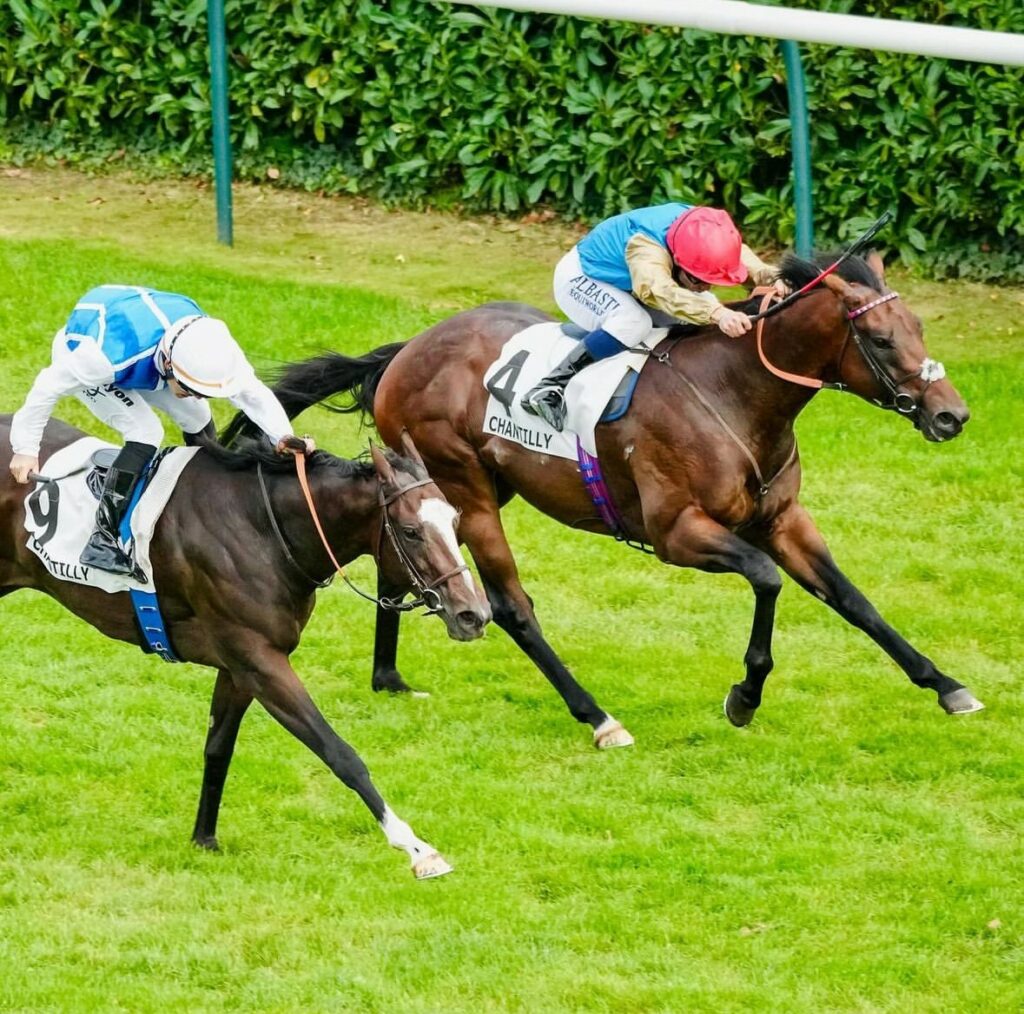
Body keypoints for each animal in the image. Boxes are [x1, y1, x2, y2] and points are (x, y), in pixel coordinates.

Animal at [0, 417, 491, 880]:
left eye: (454, 520)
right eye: (410, 531)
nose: (475, 614)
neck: (265, 530)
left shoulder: (238, 666)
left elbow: (218, 747)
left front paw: (204, 839)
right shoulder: (260, 661)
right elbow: (340, 753)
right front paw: (417, 849)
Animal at [230, 254, 983, 745]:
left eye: (921, 329)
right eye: (881, 339)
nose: (952, 416)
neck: (737, 397)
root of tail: (409, 348)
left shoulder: (782, 519)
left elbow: (854, 600)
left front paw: (946, 684)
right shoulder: (678, 533)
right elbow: (767, 580)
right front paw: (744, 696)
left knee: (399, 559)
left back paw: (388, 676)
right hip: (467, 491)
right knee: (512, 606)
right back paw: (597, 716)